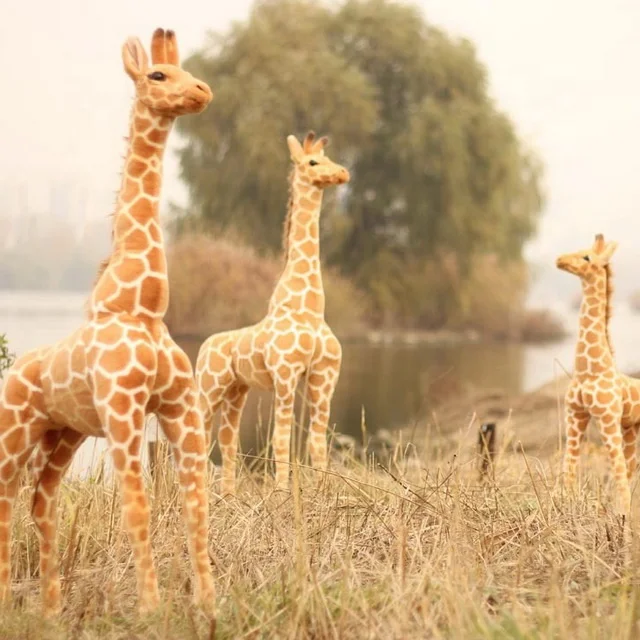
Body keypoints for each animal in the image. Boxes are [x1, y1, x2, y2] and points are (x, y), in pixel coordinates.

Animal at [0, 29, 216, 616]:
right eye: (158, 75)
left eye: (188, 70)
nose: (203, 92)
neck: (140, 306)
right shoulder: (123, 410)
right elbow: (136, 507)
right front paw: (151, 608)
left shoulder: (179, 407)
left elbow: (197, 502)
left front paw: (208, 603)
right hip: (14, 431)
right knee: (5, 503)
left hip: (63, 435)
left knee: (40, 500)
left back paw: (50, 609)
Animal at [196, 131, 350, 496]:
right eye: (313, 162)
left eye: (329, 156)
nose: (343, 173)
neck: (309, 309)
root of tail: (205, 344)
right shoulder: (285, 375)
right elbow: (281, 441)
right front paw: (281, 493)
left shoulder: (324, 376)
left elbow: (316, 442)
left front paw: (322, 491)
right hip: (208, 387)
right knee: (196, 438)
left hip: (235, 391)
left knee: (227, 439)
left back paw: (229, 495)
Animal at [557, 233, 640, 515]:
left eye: (586, 257)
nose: (559, 259)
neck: (588, 370)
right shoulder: (575, 415)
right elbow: (568, 468)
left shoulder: (607, 419)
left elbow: (618, 474)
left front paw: (622, 522)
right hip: (631, 429)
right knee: (631, 470)